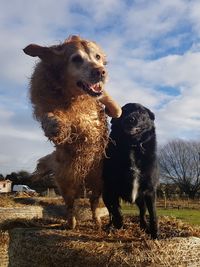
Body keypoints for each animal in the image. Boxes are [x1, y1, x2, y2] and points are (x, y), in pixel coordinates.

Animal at [23, 35, 120, 230]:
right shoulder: (45, 101)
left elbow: (111, 103)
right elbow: (50, 117)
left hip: (99, 180)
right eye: (76, 59)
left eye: (97, 57)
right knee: (70, 205)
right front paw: (56, 125)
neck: (77, 96)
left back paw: (97, 221)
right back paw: (71, 223)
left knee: (93, 203)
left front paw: (114, 108)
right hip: (67, 181)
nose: (101, 72)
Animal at [102, 103, 159, 240]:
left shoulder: (150, 191)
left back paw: (144, 227)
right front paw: (119, 224)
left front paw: (154, 235)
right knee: (111, 212)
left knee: (142, 213)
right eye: (124, 111)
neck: (132, 145)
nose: (130, 119)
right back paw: (111, 226)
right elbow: (117, 210)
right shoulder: (112, 189)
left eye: (142, 111)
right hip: (105, 195)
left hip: (141, 199)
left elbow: (153, 214)